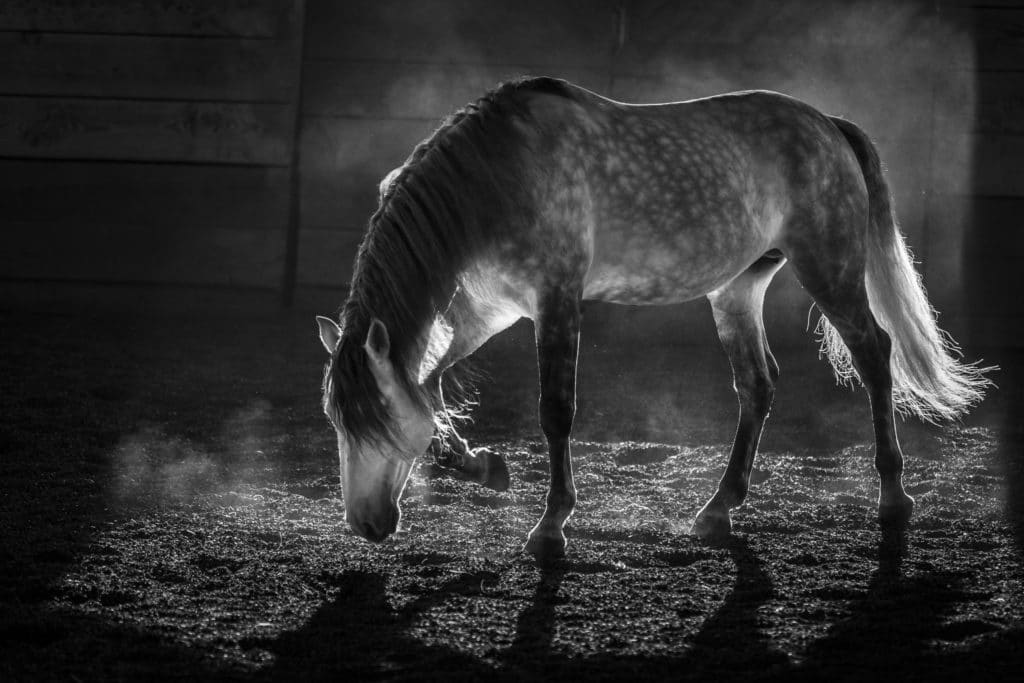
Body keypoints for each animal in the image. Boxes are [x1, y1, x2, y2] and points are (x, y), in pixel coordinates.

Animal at [313, 77, 991, 557]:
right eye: (338, 421)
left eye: (378, 423)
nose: (366, 524)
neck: (501, 175)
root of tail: (828, 125)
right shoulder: (489, 312)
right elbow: (430, 384)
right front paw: (482, 466)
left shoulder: (556, 303)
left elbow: (554, 410)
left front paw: (551, 525)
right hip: (738, 288)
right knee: (758, 384)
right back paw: (718, 509)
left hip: (830, 268)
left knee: (875, 356)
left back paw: (893, 498)